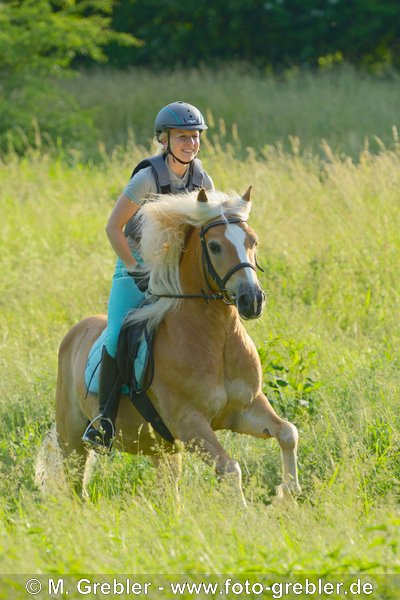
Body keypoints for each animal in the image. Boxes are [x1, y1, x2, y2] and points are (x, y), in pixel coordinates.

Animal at [36, 185, 300, 504]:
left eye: (253, 241)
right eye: (215, 246)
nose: (253, 300)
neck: (217, 338)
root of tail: (74, 333)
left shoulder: (246, 408)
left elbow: (288, 432)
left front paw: (289, 493)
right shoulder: (189, 423)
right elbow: (230, 469)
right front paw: (247, 511)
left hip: (162, 449)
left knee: (167, 489)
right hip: (73, 440)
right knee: (78, 486)